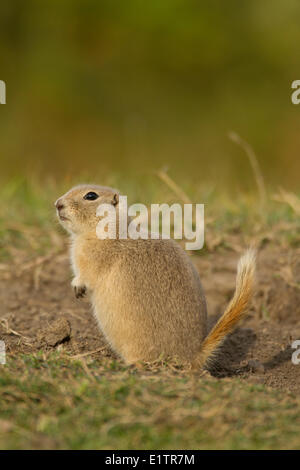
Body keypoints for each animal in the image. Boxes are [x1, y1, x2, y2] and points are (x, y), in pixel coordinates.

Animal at [54, 184, 255, 368]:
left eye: (91, 196)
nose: (57, 204)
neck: (106, 230)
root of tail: (193, 355)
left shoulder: (93, 258)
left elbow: (87, 274)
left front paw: (77, 287)